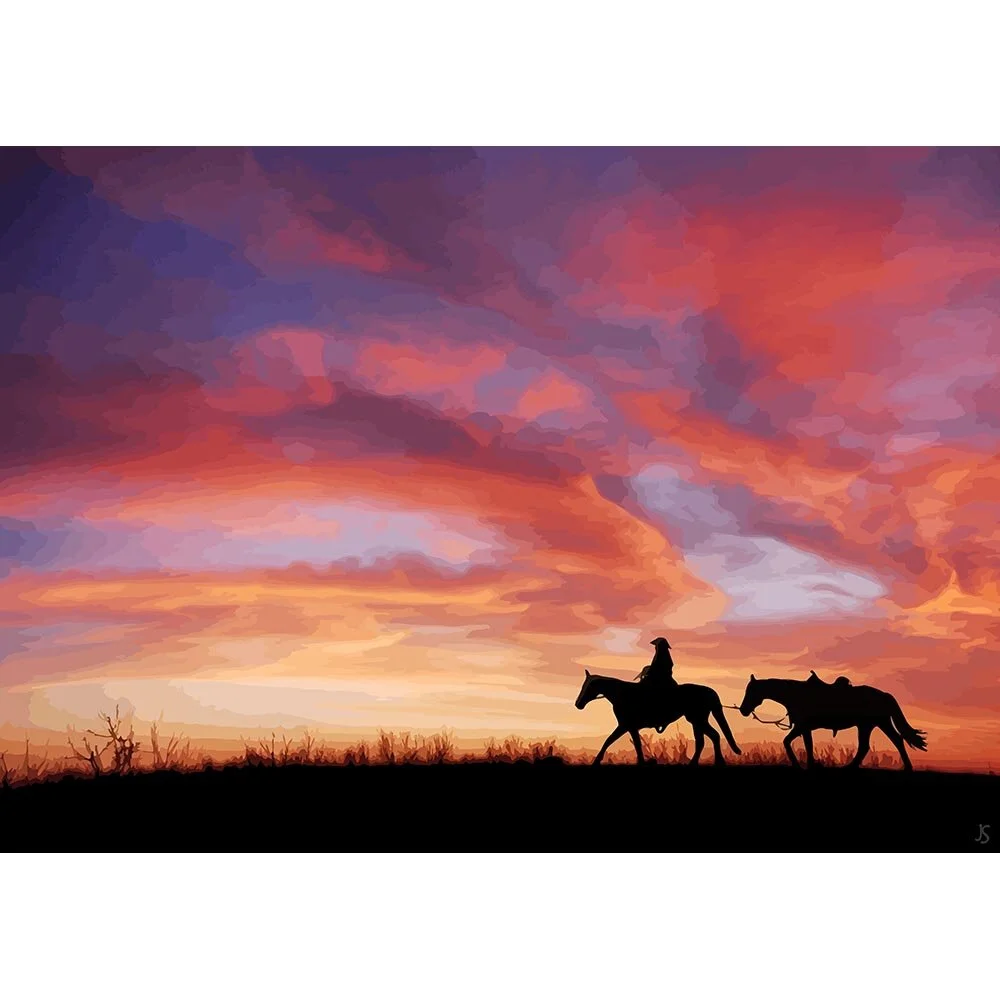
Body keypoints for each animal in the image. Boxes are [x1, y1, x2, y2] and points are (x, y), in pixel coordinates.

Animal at [574, 669, 741, 765]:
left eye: (589, 687)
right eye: (583, 685)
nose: (578, 704)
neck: (621, 694)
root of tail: (709, 691)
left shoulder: (625, 725)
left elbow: (609, 741)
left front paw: (596, 761)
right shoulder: (630, 727)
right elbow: (635, 745)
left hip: (697, 720)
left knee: (713, 736)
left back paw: (718, 762)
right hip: (696, 721)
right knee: (704, 740)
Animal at [738, 673, 928, 770]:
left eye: (751, 691)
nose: (743, 710)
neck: (796, 694)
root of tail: (884, 695)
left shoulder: (802, 726)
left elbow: (790, 742)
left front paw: (801, 765)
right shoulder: (804, 728)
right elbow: (802, 744)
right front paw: (809, 765)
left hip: (874, 724)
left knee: (888, 742)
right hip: (871, 724)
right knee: (878, 743)